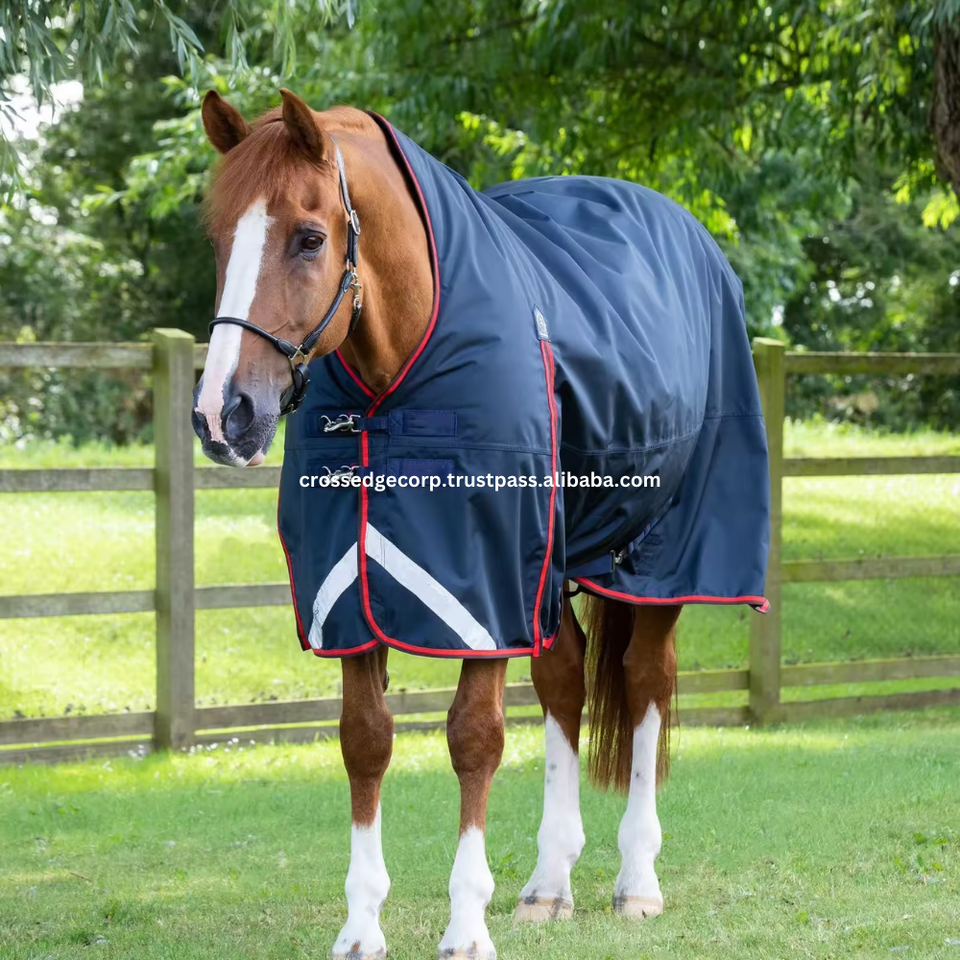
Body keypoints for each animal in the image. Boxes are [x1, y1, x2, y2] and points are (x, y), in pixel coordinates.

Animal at [192, 88, 769, 960]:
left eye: (309, 237)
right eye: (219, 236)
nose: (224, 413)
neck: (404, 372)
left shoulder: (485, 590)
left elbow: (474, 738)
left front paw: (465, 925)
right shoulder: (351, 594)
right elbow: (365, 738)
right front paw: (361, 928)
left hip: (660, 559)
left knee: (645, 683)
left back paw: (636, 879)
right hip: (554, 569)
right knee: (567, 680)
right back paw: (549, 884)